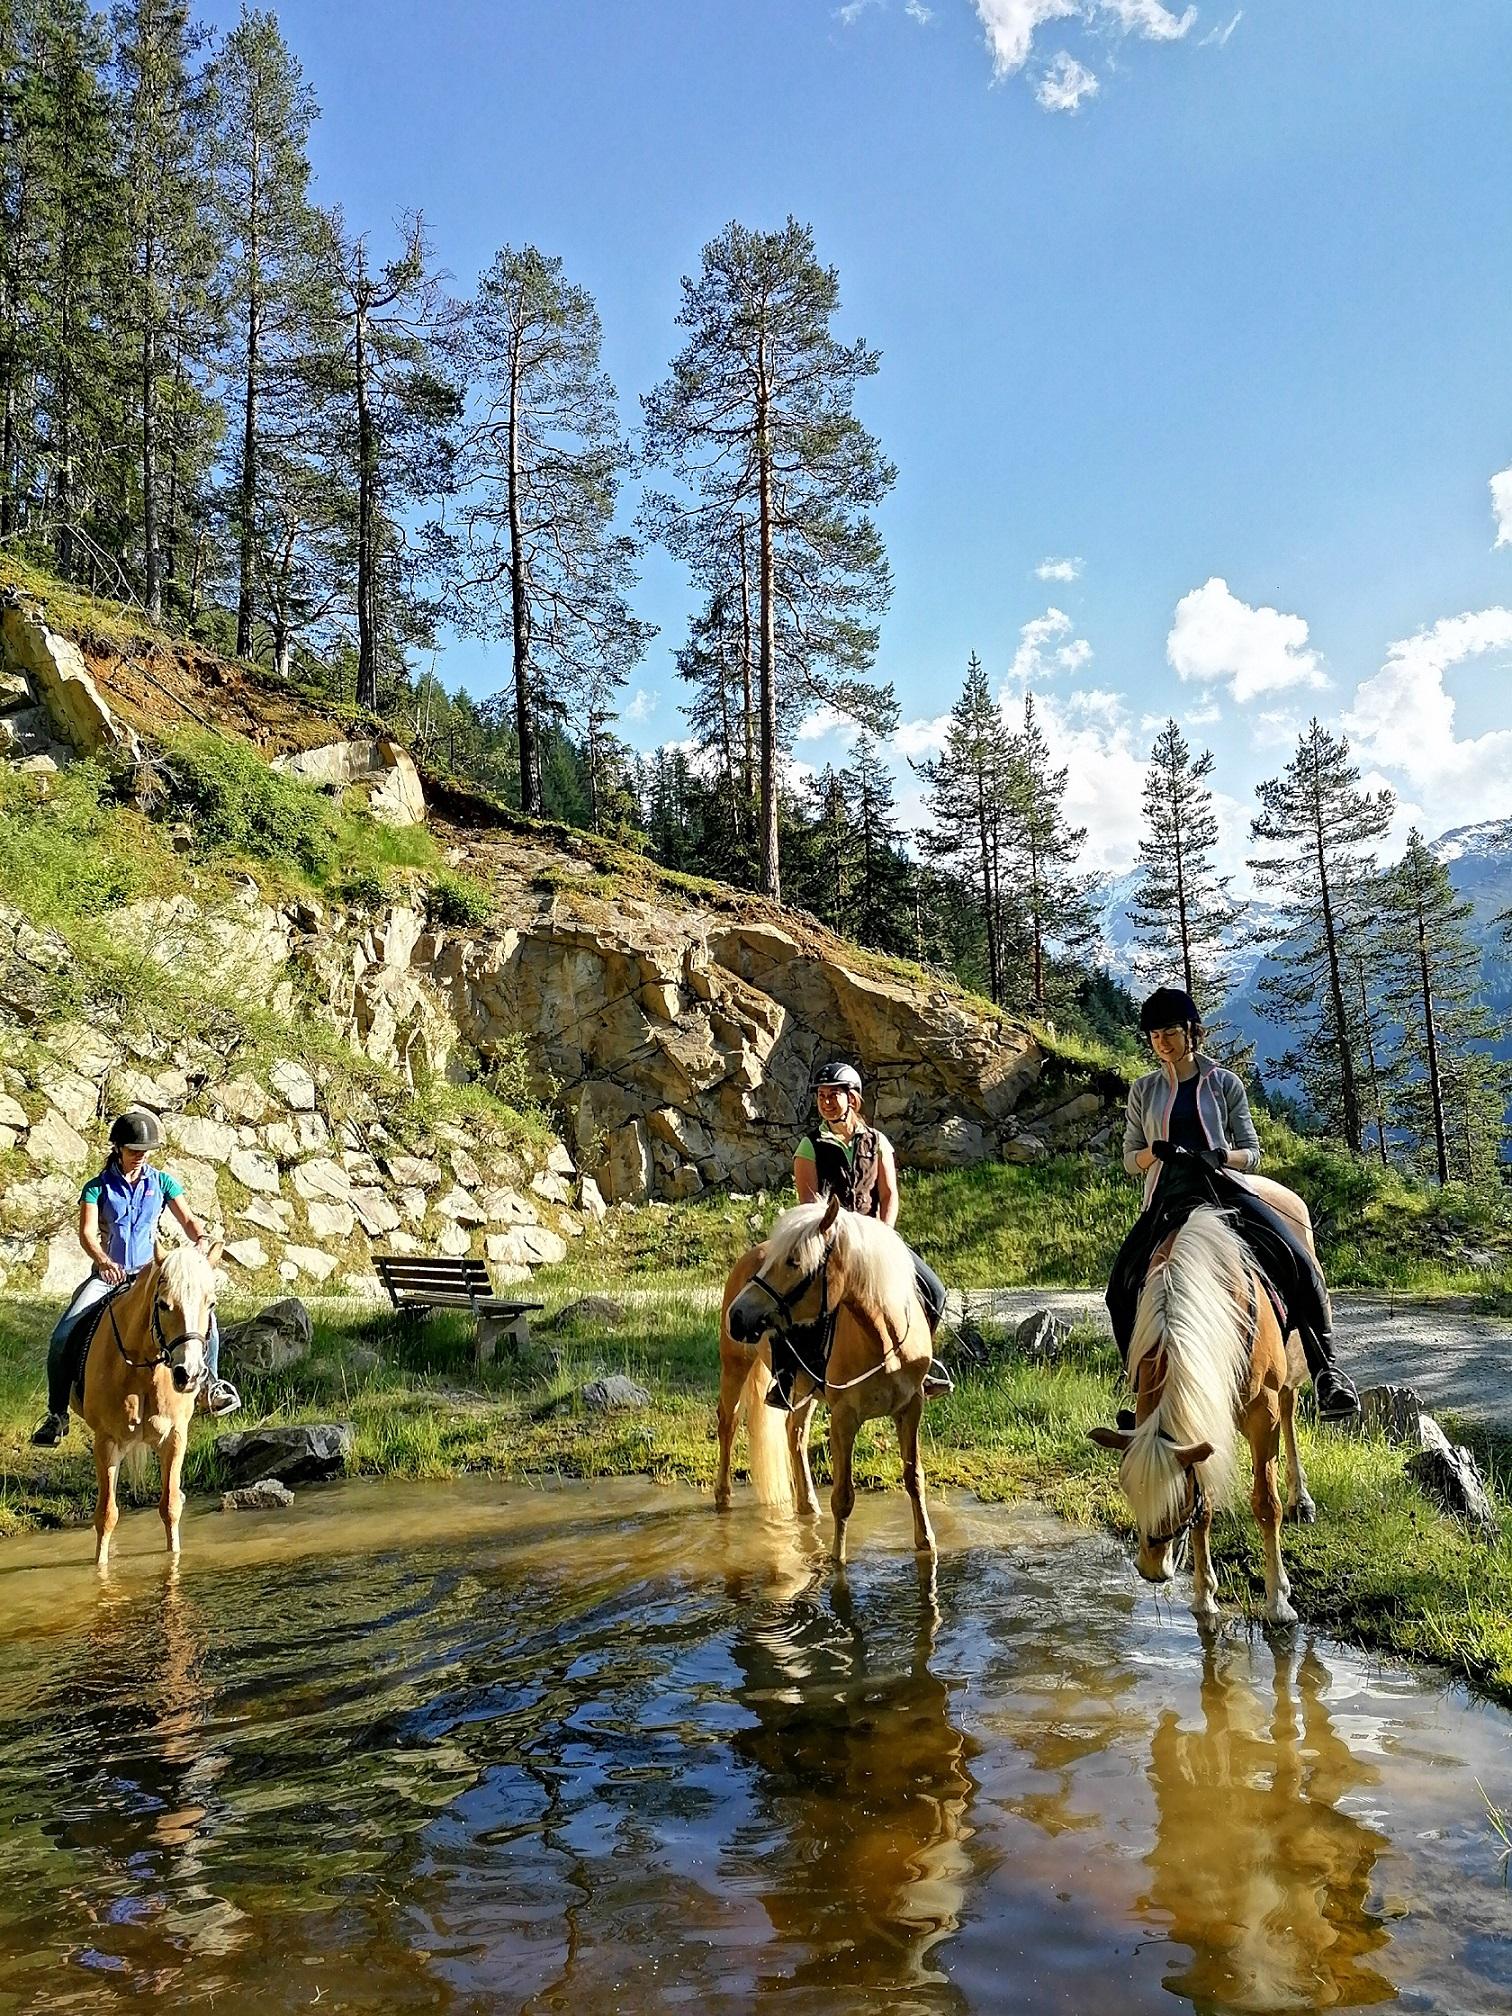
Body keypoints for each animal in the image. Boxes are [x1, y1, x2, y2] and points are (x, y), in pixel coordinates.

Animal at [77, 1241, 222, 1567]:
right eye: (164, 1305)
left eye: (211, 1304)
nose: (189, 1374)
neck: (142, 1371)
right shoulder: (107, 1442)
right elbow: (106, 1516)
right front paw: (100, 1569)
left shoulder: (175, 1438)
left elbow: (170, 1507)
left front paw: (173, 1559)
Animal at [721, 1194, 937, 1564]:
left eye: (794, 1262)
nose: (737, 1315)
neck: (883, 1341)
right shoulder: (843, 1418)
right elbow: (844, 1495)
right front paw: (837, 1559)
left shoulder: (911, 1408)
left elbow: (914, 1477)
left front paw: (926, 1542)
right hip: (735, 1366)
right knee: (728, 1423)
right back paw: (722, 1499)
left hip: (803, 1388)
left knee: (794, 1433)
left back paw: (807, 1506)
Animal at [1088, 1204, 1315, 1626]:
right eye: (1129, 1492)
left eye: (1176, 1501)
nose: (1151, 1569)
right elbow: (1205, 1506)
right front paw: (1204, 1596)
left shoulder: (1263, 1413)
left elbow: (1266, 1504)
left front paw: (1278, 1601)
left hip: (1292, 1371)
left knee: (1291, 1411)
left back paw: (1301, 1499)